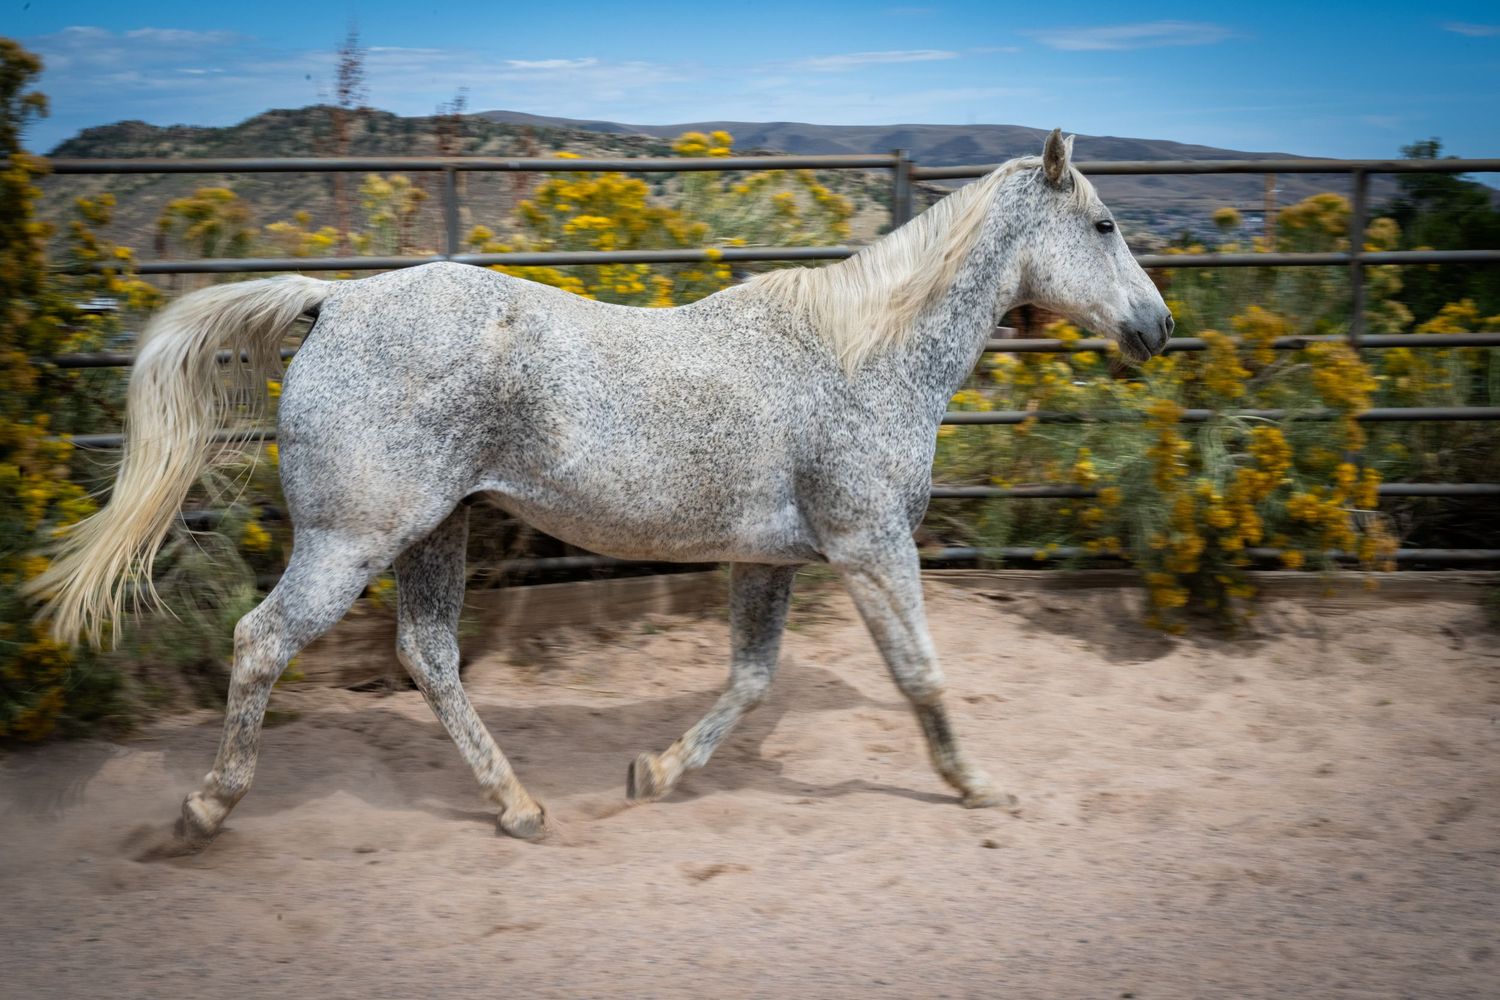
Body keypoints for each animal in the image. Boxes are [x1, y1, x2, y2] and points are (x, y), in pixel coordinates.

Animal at [31, 129, 1172, 843]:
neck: (863, 359)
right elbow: (923, 676)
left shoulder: (769, 558)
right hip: (353, 538)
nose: (1158, 330)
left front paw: (653, 773)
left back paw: (521, 807)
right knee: (263, 642)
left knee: (428, 657)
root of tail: (335, 302)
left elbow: (751, 679)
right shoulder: (872, 546)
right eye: (1106, 226)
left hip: (433, 532)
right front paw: (981, 788)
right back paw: (205, 811)